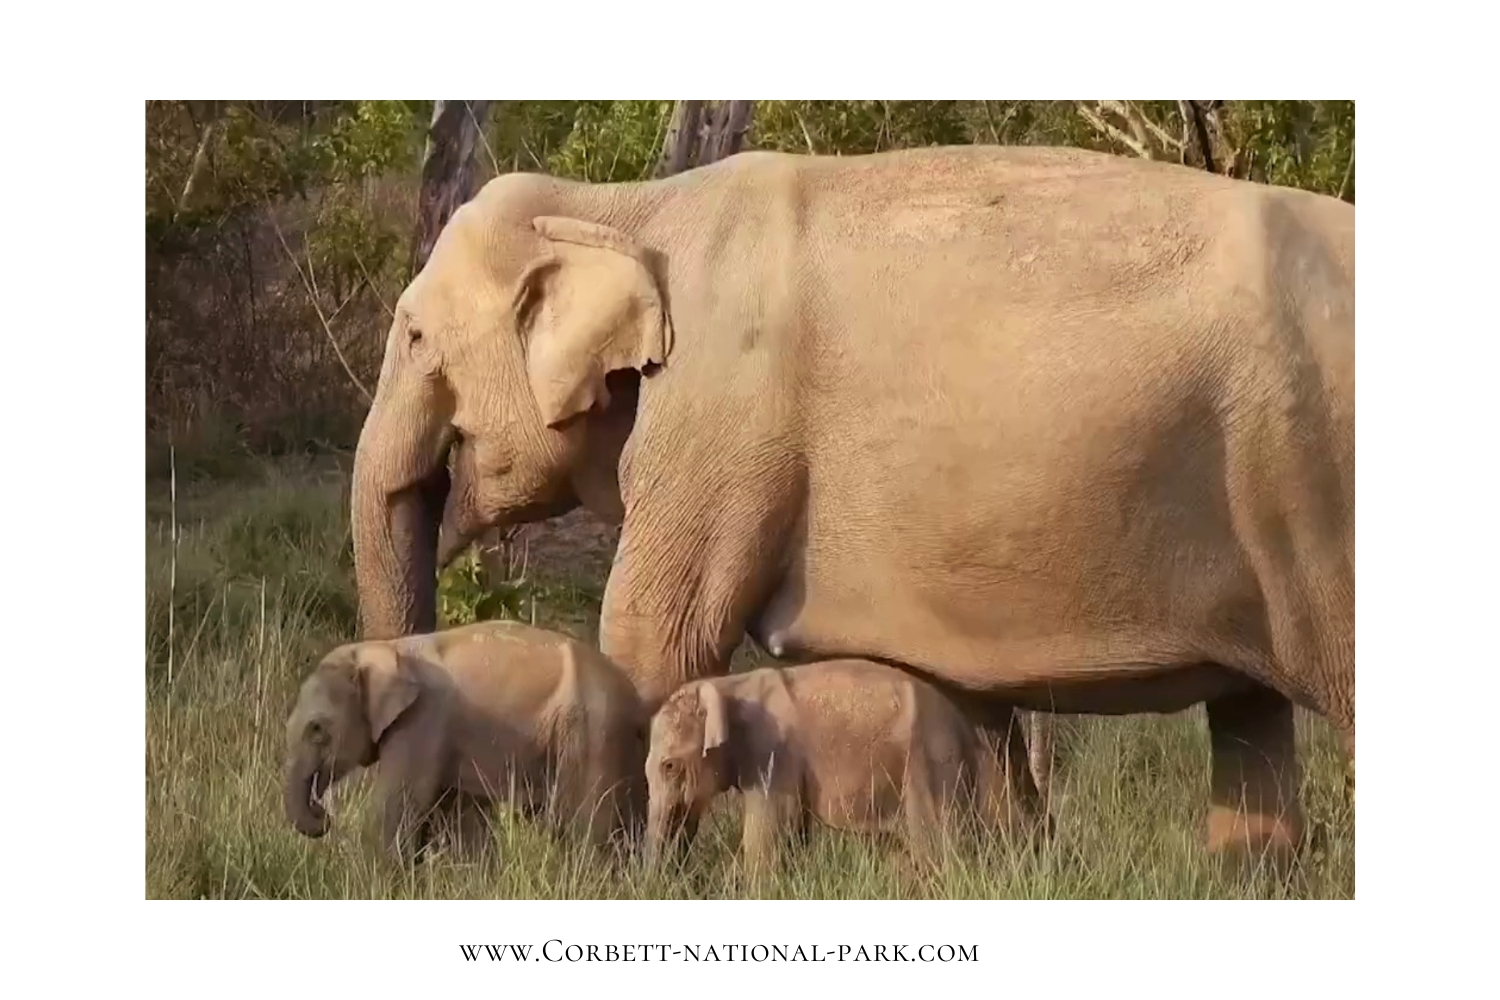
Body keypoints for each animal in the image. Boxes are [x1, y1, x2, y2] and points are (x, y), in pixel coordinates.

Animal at [283, 620, 648, 861]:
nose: (323, 816)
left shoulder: (424, 719)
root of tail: (637, 700)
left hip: (594, 732)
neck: (385, 648)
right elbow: (462, 815)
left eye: (317, 729)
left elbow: (395, 806)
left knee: (588, 822)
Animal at [643, 659, 1050, 875]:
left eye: (669, 766)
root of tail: (968, 724)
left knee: (933, 842)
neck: (728, 685)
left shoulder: (772, 754)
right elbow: (794, 830)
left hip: (931, 758)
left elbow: (767, 836)